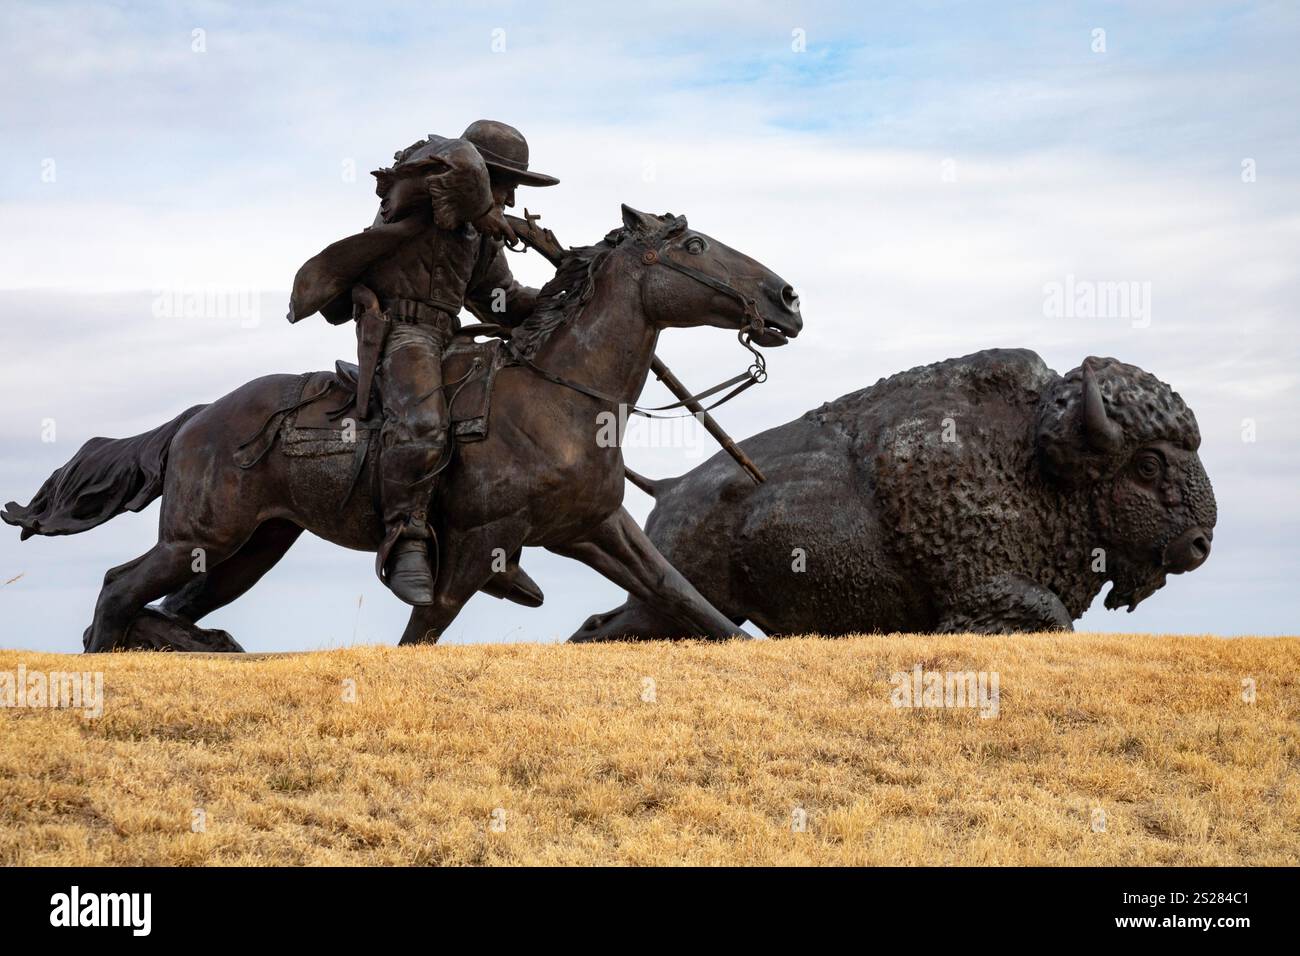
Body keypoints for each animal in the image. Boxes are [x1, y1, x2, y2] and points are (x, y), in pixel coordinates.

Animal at [2, 205, 800, 655]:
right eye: (693, 247)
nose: (787, 299)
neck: (560, 395)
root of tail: (196, 420)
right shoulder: (481, 540)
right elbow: (425, 627)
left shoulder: (594, 528)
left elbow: (684, 597)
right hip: (200, 538)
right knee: (117, 589)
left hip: (249, 549)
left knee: (159, 604)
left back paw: (200, 642)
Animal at [574, 348, 1211, 639]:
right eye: (1148, 465)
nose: (1200, 542)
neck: (1030, 460)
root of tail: (668, 492)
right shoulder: (980, 586)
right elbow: (1046, 614)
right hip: (667, 605)